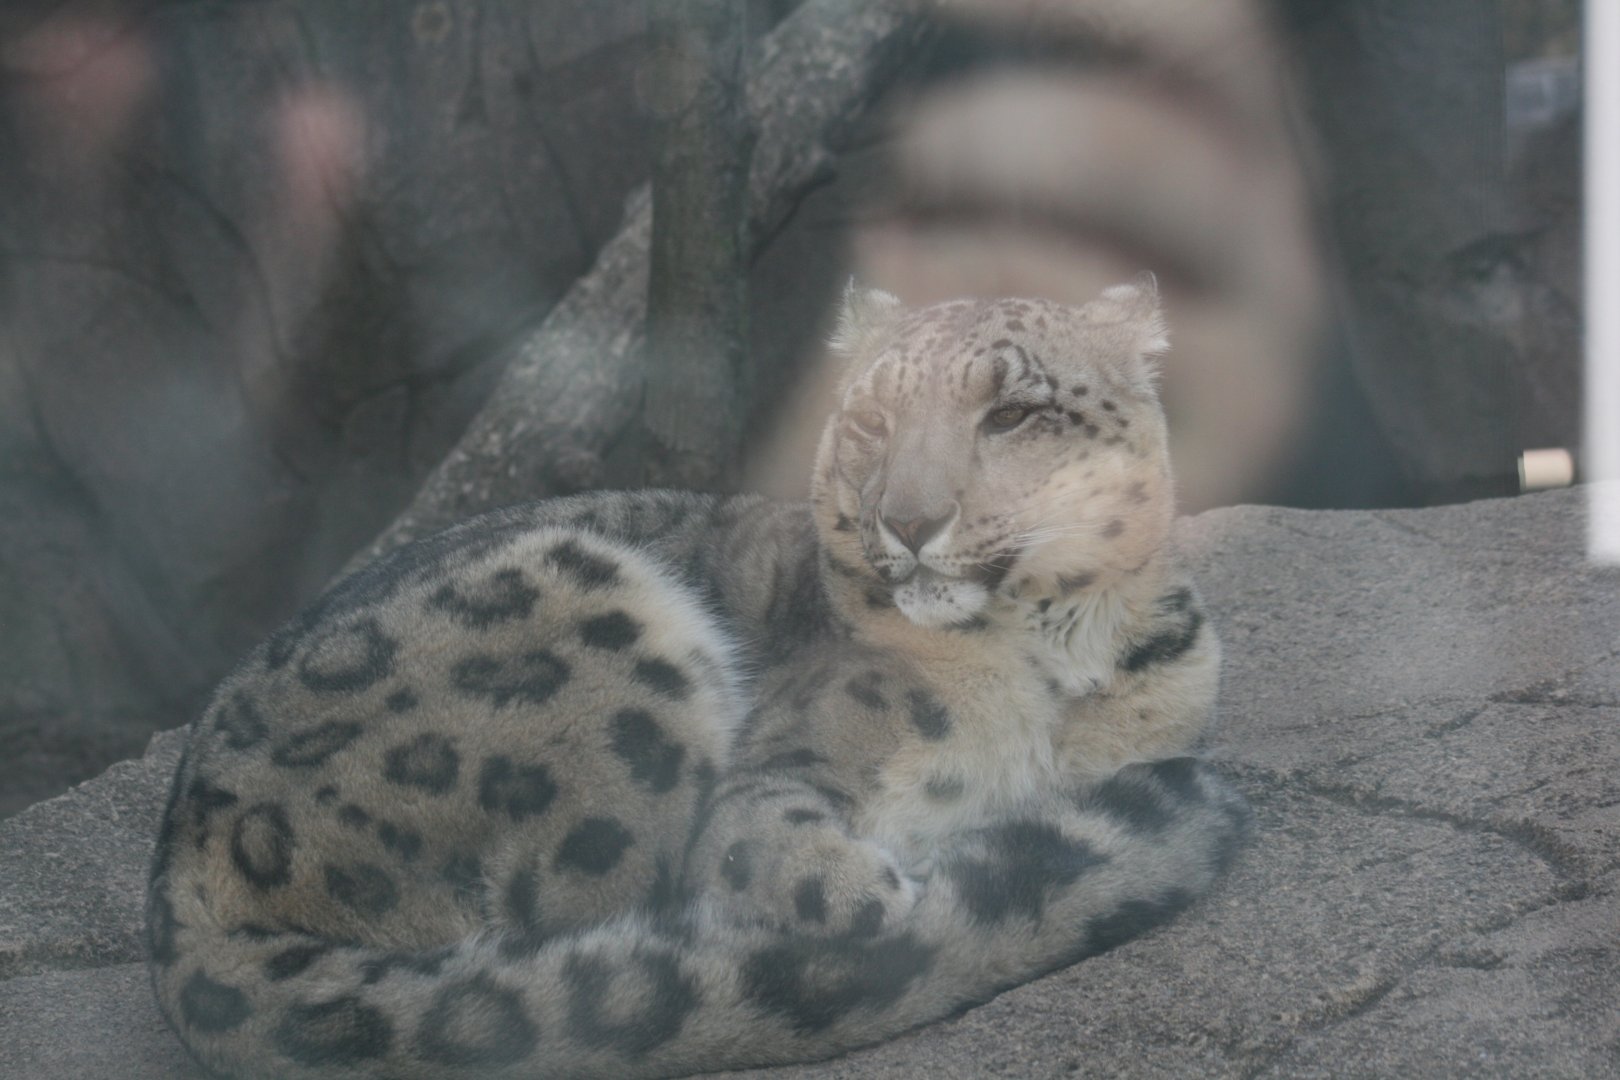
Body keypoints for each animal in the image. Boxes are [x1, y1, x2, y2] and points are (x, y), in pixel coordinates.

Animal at [147, 276, 1247, 1079]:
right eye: (873, 418)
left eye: (1014, 413)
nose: (907, 519)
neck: (1049, 665)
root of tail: (178, 884)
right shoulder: (787, 761)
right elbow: (757, 831)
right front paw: (863, 895)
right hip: (598, 639)